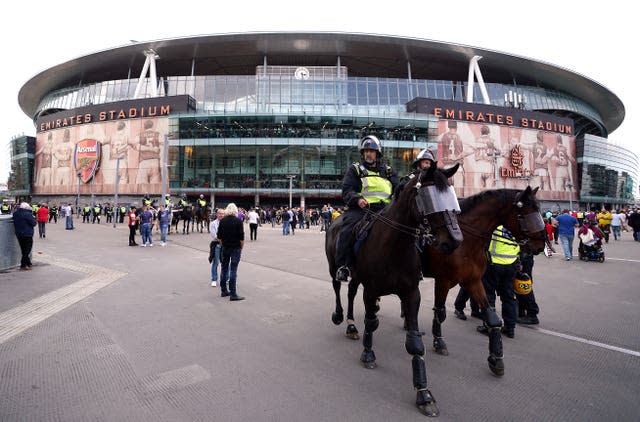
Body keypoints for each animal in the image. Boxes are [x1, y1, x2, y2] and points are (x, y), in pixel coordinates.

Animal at [328, 163, 462, 418]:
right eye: (429, 198)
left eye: (451, 197)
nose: (455, 241)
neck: (394, 245)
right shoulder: (371, 289)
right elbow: (370, 323)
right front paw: (368, 354)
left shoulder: (411, 294)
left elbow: (415, 342)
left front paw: (423, 393)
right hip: (335, 267)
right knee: (339, 288)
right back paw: (341, 317)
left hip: (357, 278)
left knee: (350, 293)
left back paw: (352, 325)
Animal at [422, 188, 548, 376]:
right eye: (523, 215)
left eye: (538, 210)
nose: (540, 245)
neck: (465, 240)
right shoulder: (443, 281)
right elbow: (440, 312)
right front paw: (438, 341)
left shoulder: (473, 281)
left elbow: (492, 317)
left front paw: (496, 358)